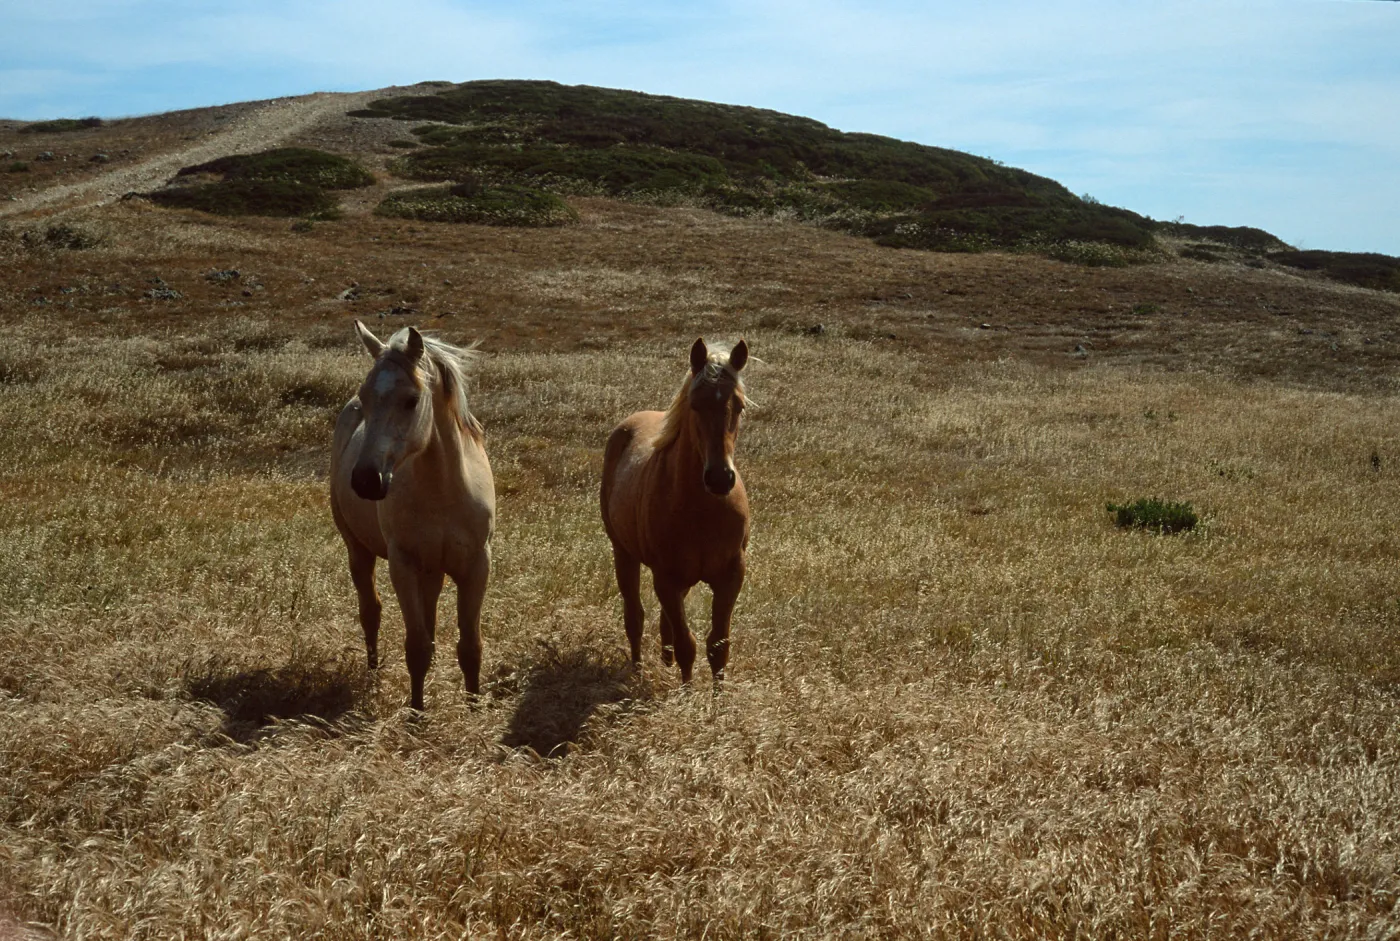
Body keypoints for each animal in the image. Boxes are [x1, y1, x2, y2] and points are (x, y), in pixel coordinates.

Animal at [329, 321, 495, 710]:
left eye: (411, 400)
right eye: (365, 398)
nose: (365, 479)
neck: (444, 492)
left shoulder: (477, 565)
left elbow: (470, 646)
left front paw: (473, 708)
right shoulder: (402, 564)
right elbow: (416, 647)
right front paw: (417, 713)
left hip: (432, 570)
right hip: (358, 550)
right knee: (370, 612)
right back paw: (372, 675)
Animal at [601, 337, 751, 685]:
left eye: (738, 406)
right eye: (695, 405)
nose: (719, 478)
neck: (702, 510)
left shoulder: (731, 576)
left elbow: (718, 646)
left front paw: (718, 696)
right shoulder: (666, 578)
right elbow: (687, 645)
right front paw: (686, 693)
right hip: (623, 554)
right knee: (635, 617)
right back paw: (637, 670)